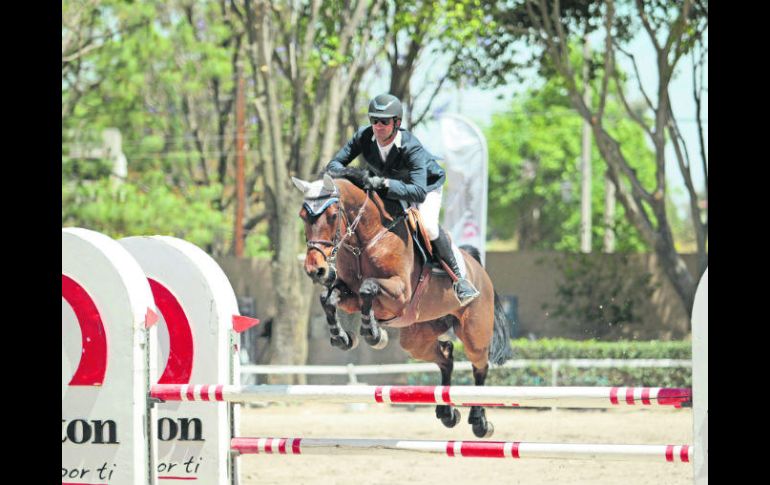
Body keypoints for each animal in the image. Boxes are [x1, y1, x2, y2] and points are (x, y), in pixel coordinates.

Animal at [292, 169, 512, 434]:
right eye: (303, 216)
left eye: (333, 216)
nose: (316, 270)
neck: (366, 240)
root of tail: (479, 269)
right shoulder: (349, 294)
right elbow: (329, 297)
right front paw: (342, 337)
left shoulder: (399, 294)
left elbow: (368, 288)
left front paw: (374, 334)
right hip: (417, 338)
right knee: (446, 356)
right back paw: (447, 413)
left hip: (473, 333)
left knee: (480, 366)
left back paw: (480, 422)